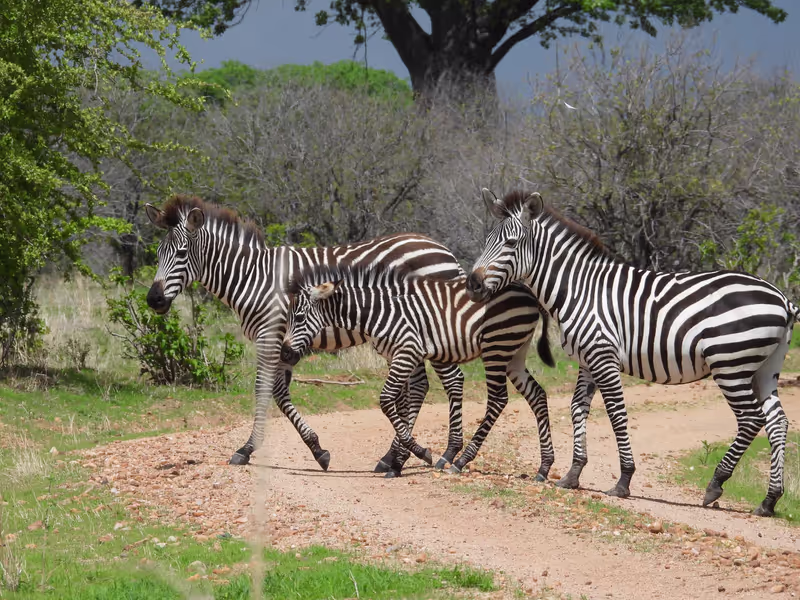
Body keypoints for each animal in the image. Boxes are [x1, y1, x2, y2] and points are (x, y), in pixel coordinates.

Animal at [144, 194, 467, 473]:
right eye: (158, 254)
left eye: (182, 253)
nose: (154, 300)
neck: (253, 277)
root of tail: (444, 250)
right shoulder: (284, 341)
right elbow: (279, 393)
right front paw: (317, 450)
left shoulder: (270, 335)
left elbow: (264, 390)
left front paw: (247, 449)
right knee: (419, 386)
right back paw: (393, 457)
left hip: (434, 329)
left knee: (451, 381)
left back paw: (447, 454)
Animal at [279, 261, 556, 478]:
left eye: (299, 318)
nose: (284, 354)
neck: (380, 312)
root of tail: (527, 292)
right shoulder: (401, 355)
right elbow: (403, 403)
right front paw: (398, 461)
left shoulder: (407, 351)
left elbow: (388, 401)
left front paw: (418, 454)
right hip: (514, 351)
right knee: (537, 395)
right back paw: (544, 467)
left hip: (497, 346)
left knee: (498, 399)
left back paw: (461, 460)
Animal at [466, 188, 796, 517]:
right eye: (487, 240)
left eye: (511, 243)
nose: (472, 284)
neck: (579, 290)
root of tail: (782, 298)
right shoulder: (587, 360)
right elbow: (577, 408)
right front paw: (573, 474)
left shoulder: (603, 357)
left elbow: (616, 413)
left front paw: (624, 479)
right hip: (763, 368)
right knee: (777, 421)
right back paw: (769, 500)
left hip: (730, 364)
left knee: (751, 418)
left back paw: (716, 484)